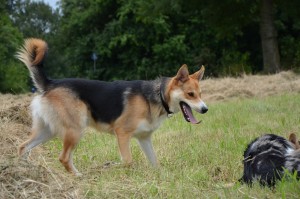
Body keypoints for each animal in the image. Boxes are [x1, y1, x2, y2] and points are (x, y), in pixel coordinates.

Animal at [15, 38, 209, 175]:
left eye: (200, 94)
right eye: (190, 94)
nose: (205, 109)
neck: (158, 96)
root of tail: (50, 83)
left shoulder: (144, 139)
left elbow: (155, 162)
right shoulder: (122, 133)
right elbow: (127, 161)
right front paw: (111, 166)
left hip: (48, 131)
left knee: (23, 147)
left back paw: (24, 170)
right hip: (74, 130)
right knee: (63, 158)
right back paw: (78, 176)